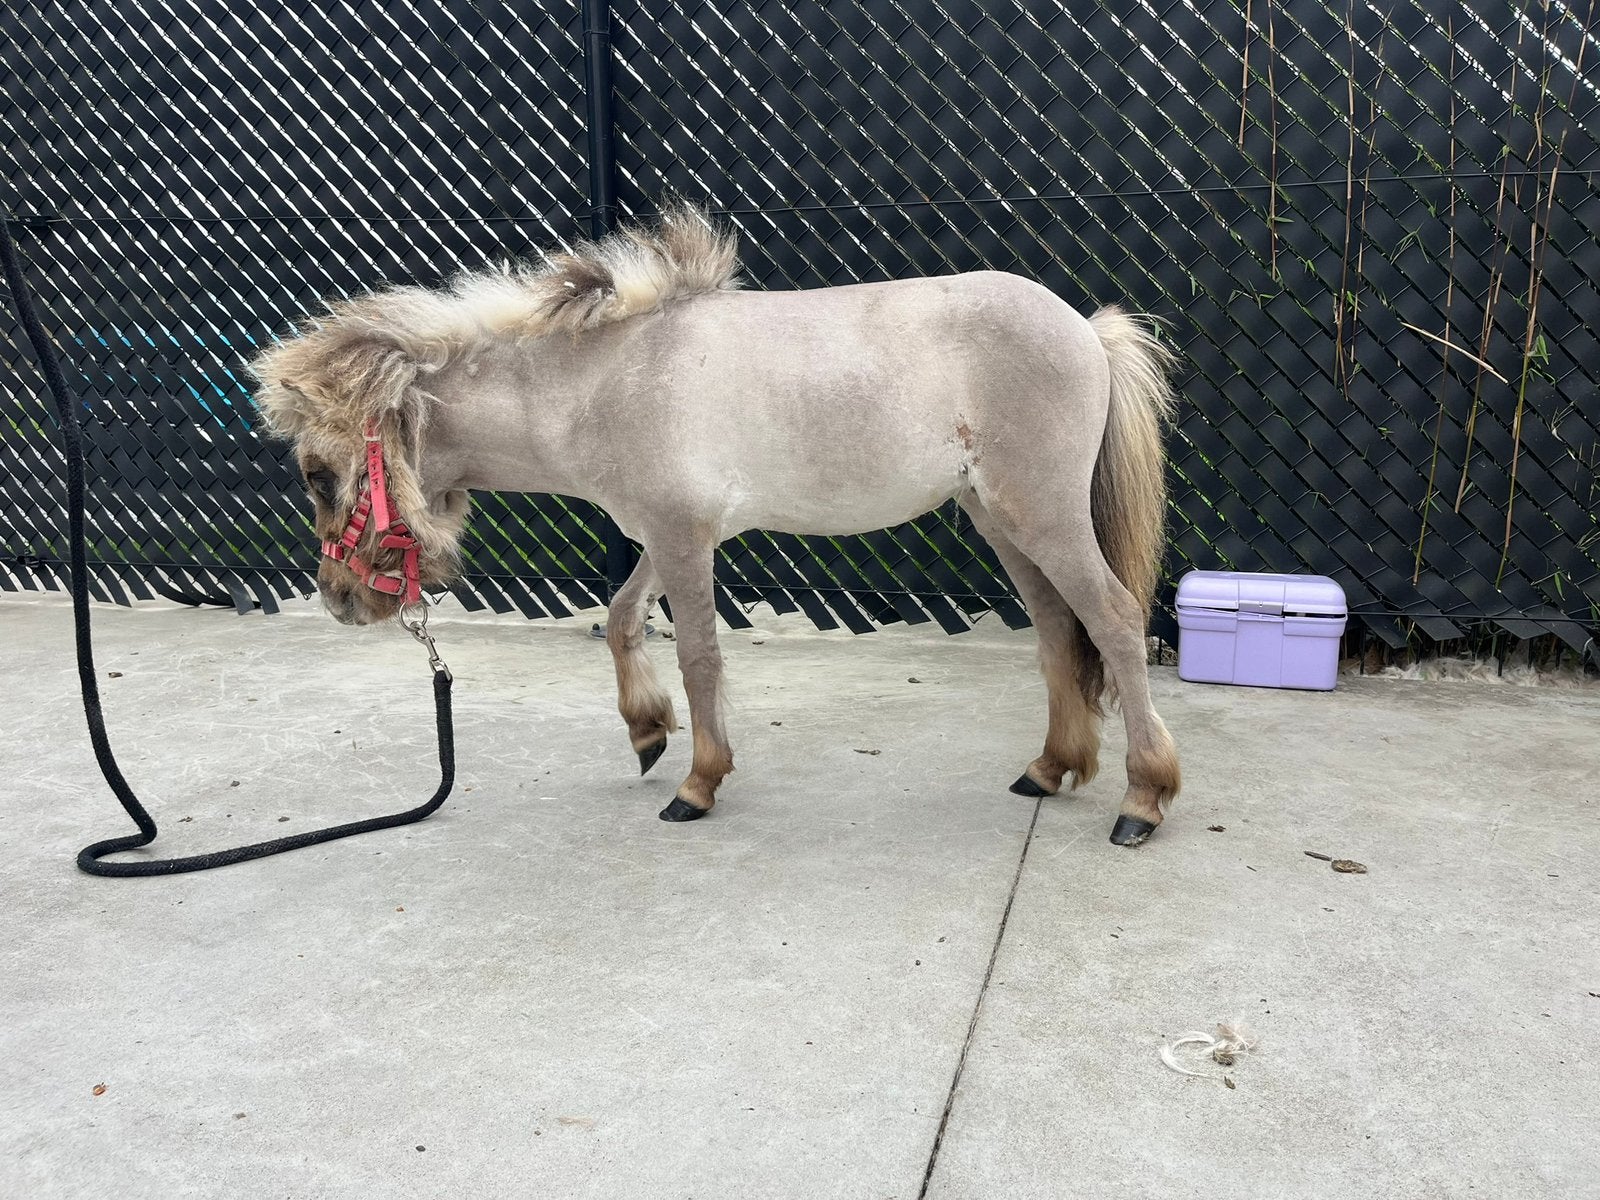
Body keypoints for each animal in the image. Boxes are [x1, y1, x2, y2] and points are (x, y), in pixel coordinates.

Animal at [251, 205, 1181, 846]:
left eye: (318, 473)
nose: (337, 598)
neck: (606, 381)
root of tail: (1085, 331)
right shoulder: (668, 535)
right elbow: (623, 619)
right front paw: (645, 732)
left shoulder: (681, 537)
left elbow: (698, 655)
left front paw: (697, 782)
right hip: (1001, 522)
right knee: (1058, 628)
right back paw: (1051, 767)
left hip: (1043, 516)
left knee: (1112, 621)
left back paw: (1142, 798)